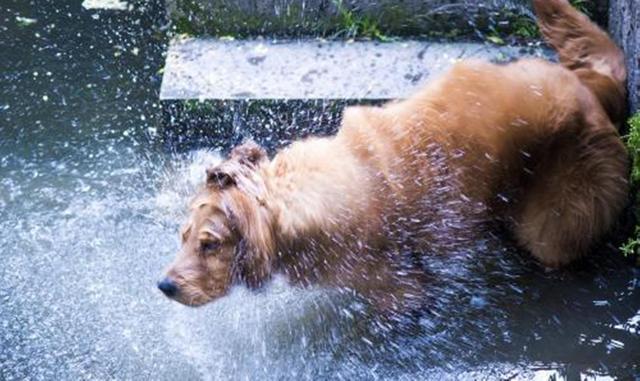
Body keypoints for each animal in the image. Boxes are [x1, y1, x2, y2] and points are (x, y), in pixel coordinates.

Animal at [158, 0, 628, 308]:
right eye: (182, 236)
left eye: (209, 244)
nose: (164, 285)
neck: (294, 200)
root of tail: (594, 87)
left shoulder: (401, 290)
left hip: (556, 220)